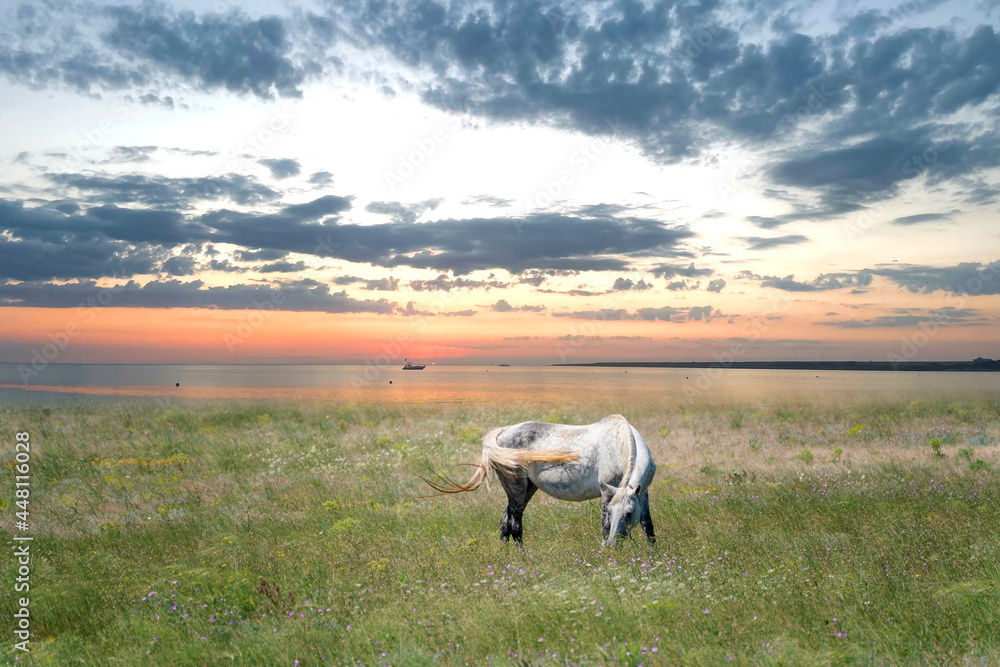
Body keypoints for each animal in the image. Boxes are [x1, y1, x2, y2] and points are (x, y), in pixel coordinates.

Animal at [425, 414, 656, 546]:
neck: (618, 443)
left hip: (528, 489)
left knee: (504, 521)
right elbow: (604, 525)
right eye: (612, 512)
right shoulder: (607, 492)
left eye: (629, 514)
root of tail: (500, 433)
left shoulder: (642, 493)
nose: (612, 545)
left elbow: (648, 526)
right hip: (516, 488)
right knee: (514, 523)